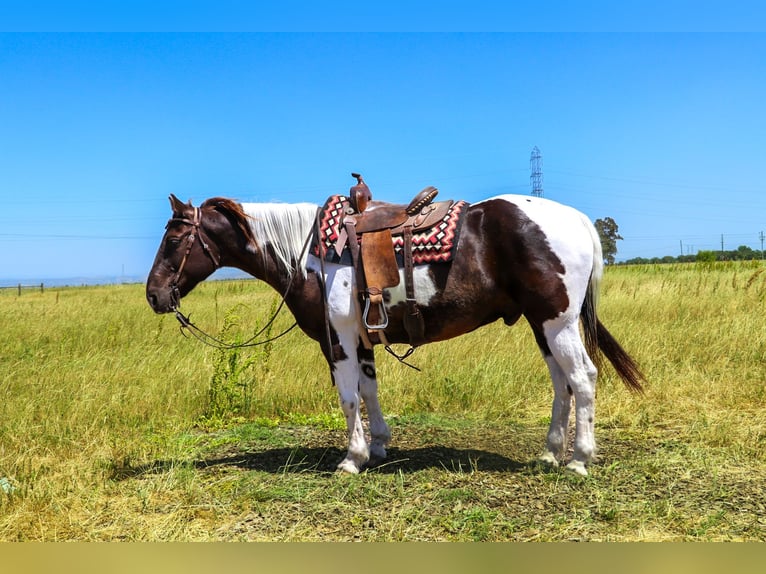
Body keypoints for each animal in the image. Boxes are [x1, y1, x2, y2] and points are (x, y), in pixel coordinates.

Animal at [146, 185, 644, 477]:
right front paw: (379, 446)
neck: (308, 255)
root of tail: (576, 219)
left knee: (583, 378)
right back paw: (550, 453)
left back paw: (578, 460)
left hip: (557, 322)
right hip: (542, 324)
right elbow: (369, 392)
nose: (153, 295)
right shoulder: (362, 339)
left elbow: (348, 398)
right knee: (562, 383)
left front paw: (351, 459)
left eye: (172, 240)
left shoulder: (338, 340)